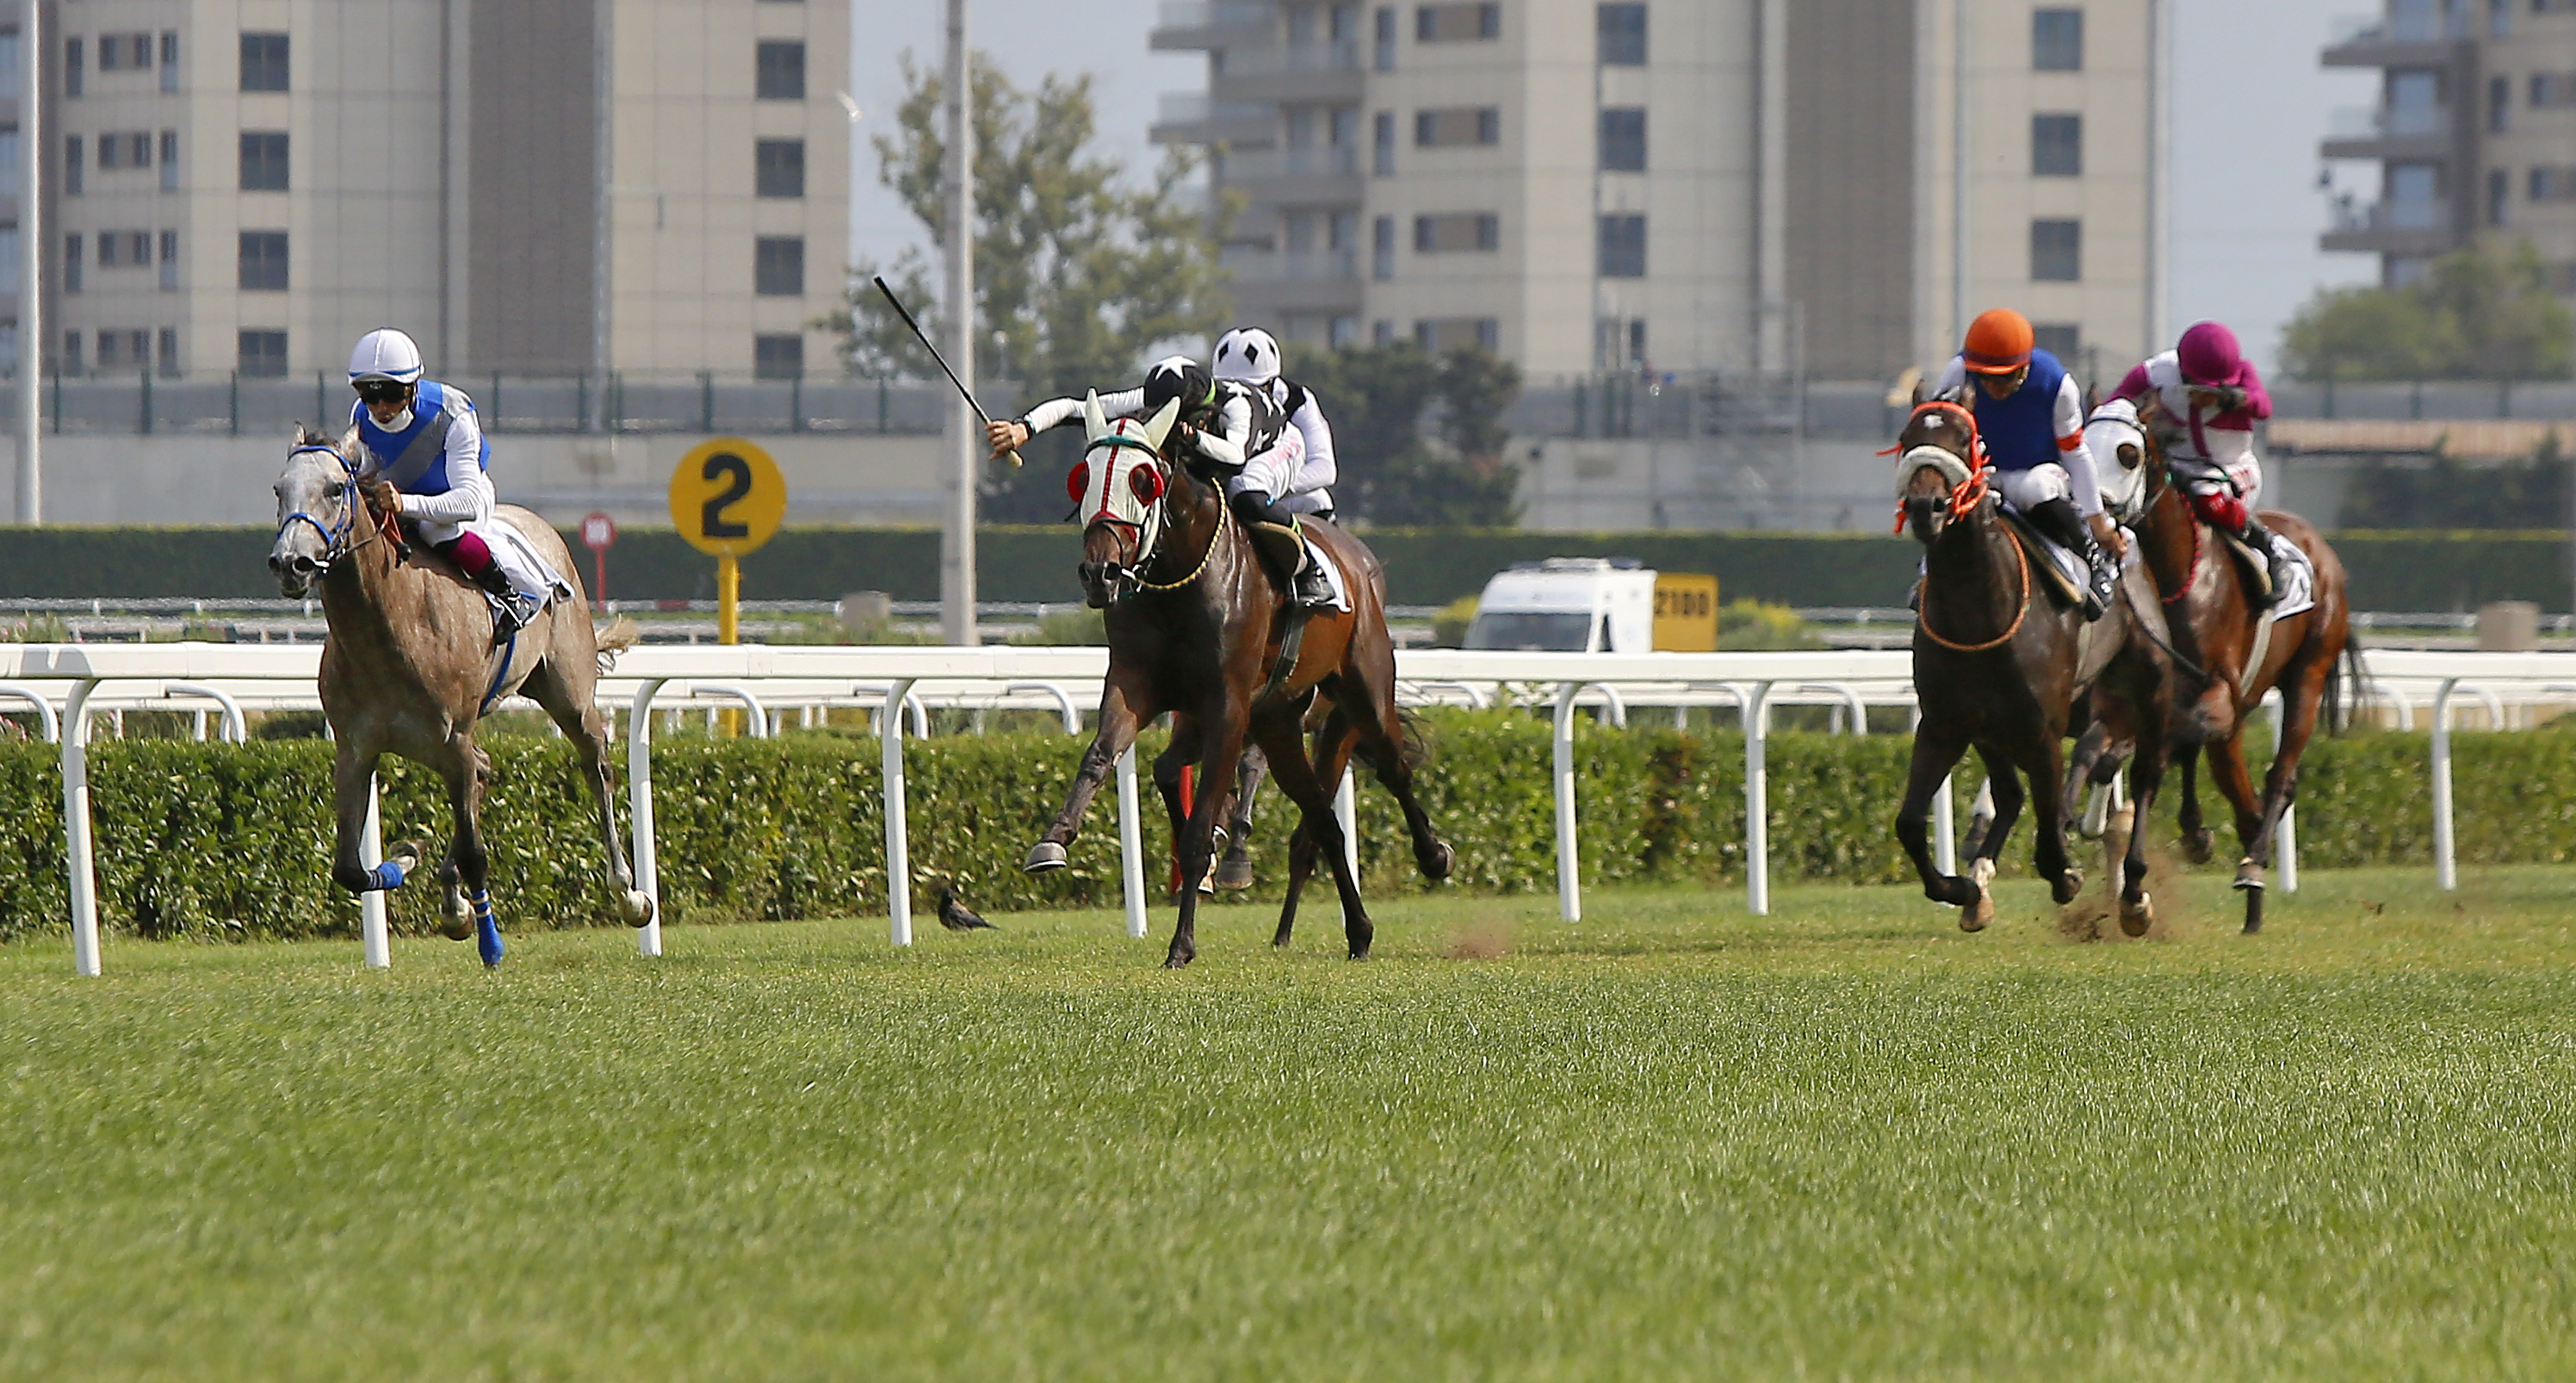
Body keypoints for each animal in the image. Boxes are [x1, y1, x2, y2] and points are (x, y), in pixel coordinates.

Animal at [267, 425, 653, 965]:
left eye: (334, 489)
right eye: (279, 490)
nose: (291, 563)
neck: (388, 626)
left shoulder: (451, 741)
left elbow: (475, 853)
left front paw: (490, 942)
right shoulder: (357, 747)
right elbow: (348, 867)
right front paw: (407, 857)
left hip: (568, 696)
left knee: (596, 767)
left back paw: (628, 893)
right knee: (484, 770)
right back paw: (453, 900)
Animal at [1020, 394, 1453, 967]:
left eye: (1143, 481)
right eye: (1082, 479)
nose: (1100, 573)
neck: (1177, 578)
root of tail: (1360, 564)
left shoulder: (1227, 706)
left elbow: (1201, 823)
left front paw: (1182, 943)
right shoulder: (1136, 684)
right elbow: (1101, 755)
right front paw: (1053, 840)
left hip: (1361, 694)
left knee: (1393, 768)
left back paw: (1433, 857)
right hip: (1279, 722)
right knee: (1321, 820)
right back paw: (1358, 931)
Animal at [1891, 391, 2174, 935]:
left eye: (1964, 436)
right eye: (1906, 437)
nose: (1925, 505)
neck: (1977, 612)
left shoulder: (2043, 730)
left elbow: (2050, 831)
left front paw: (2067, 876)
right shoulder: (1945, 724)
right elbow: (1911, 823)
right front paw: (1960, 888)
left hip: (2147, 691)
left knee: (2146, 780)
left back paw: (2134, 895)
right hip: (1992, 727)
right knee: (2009, 795)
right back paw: (1979, 885)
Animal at [2081, 396, 2355, 933]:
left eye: (2128, 453)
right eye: (2080, 442)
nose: (2091, 515)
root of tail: (2321, 548)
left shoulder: (2217, 691)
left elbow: (2162, 751)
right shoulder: (2152, 690)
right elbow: (2131, 753)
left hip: (2307, 674)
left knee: (2279, 776)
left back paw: (2252, 864)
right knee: (2235, 785)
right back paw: (2245, 895)